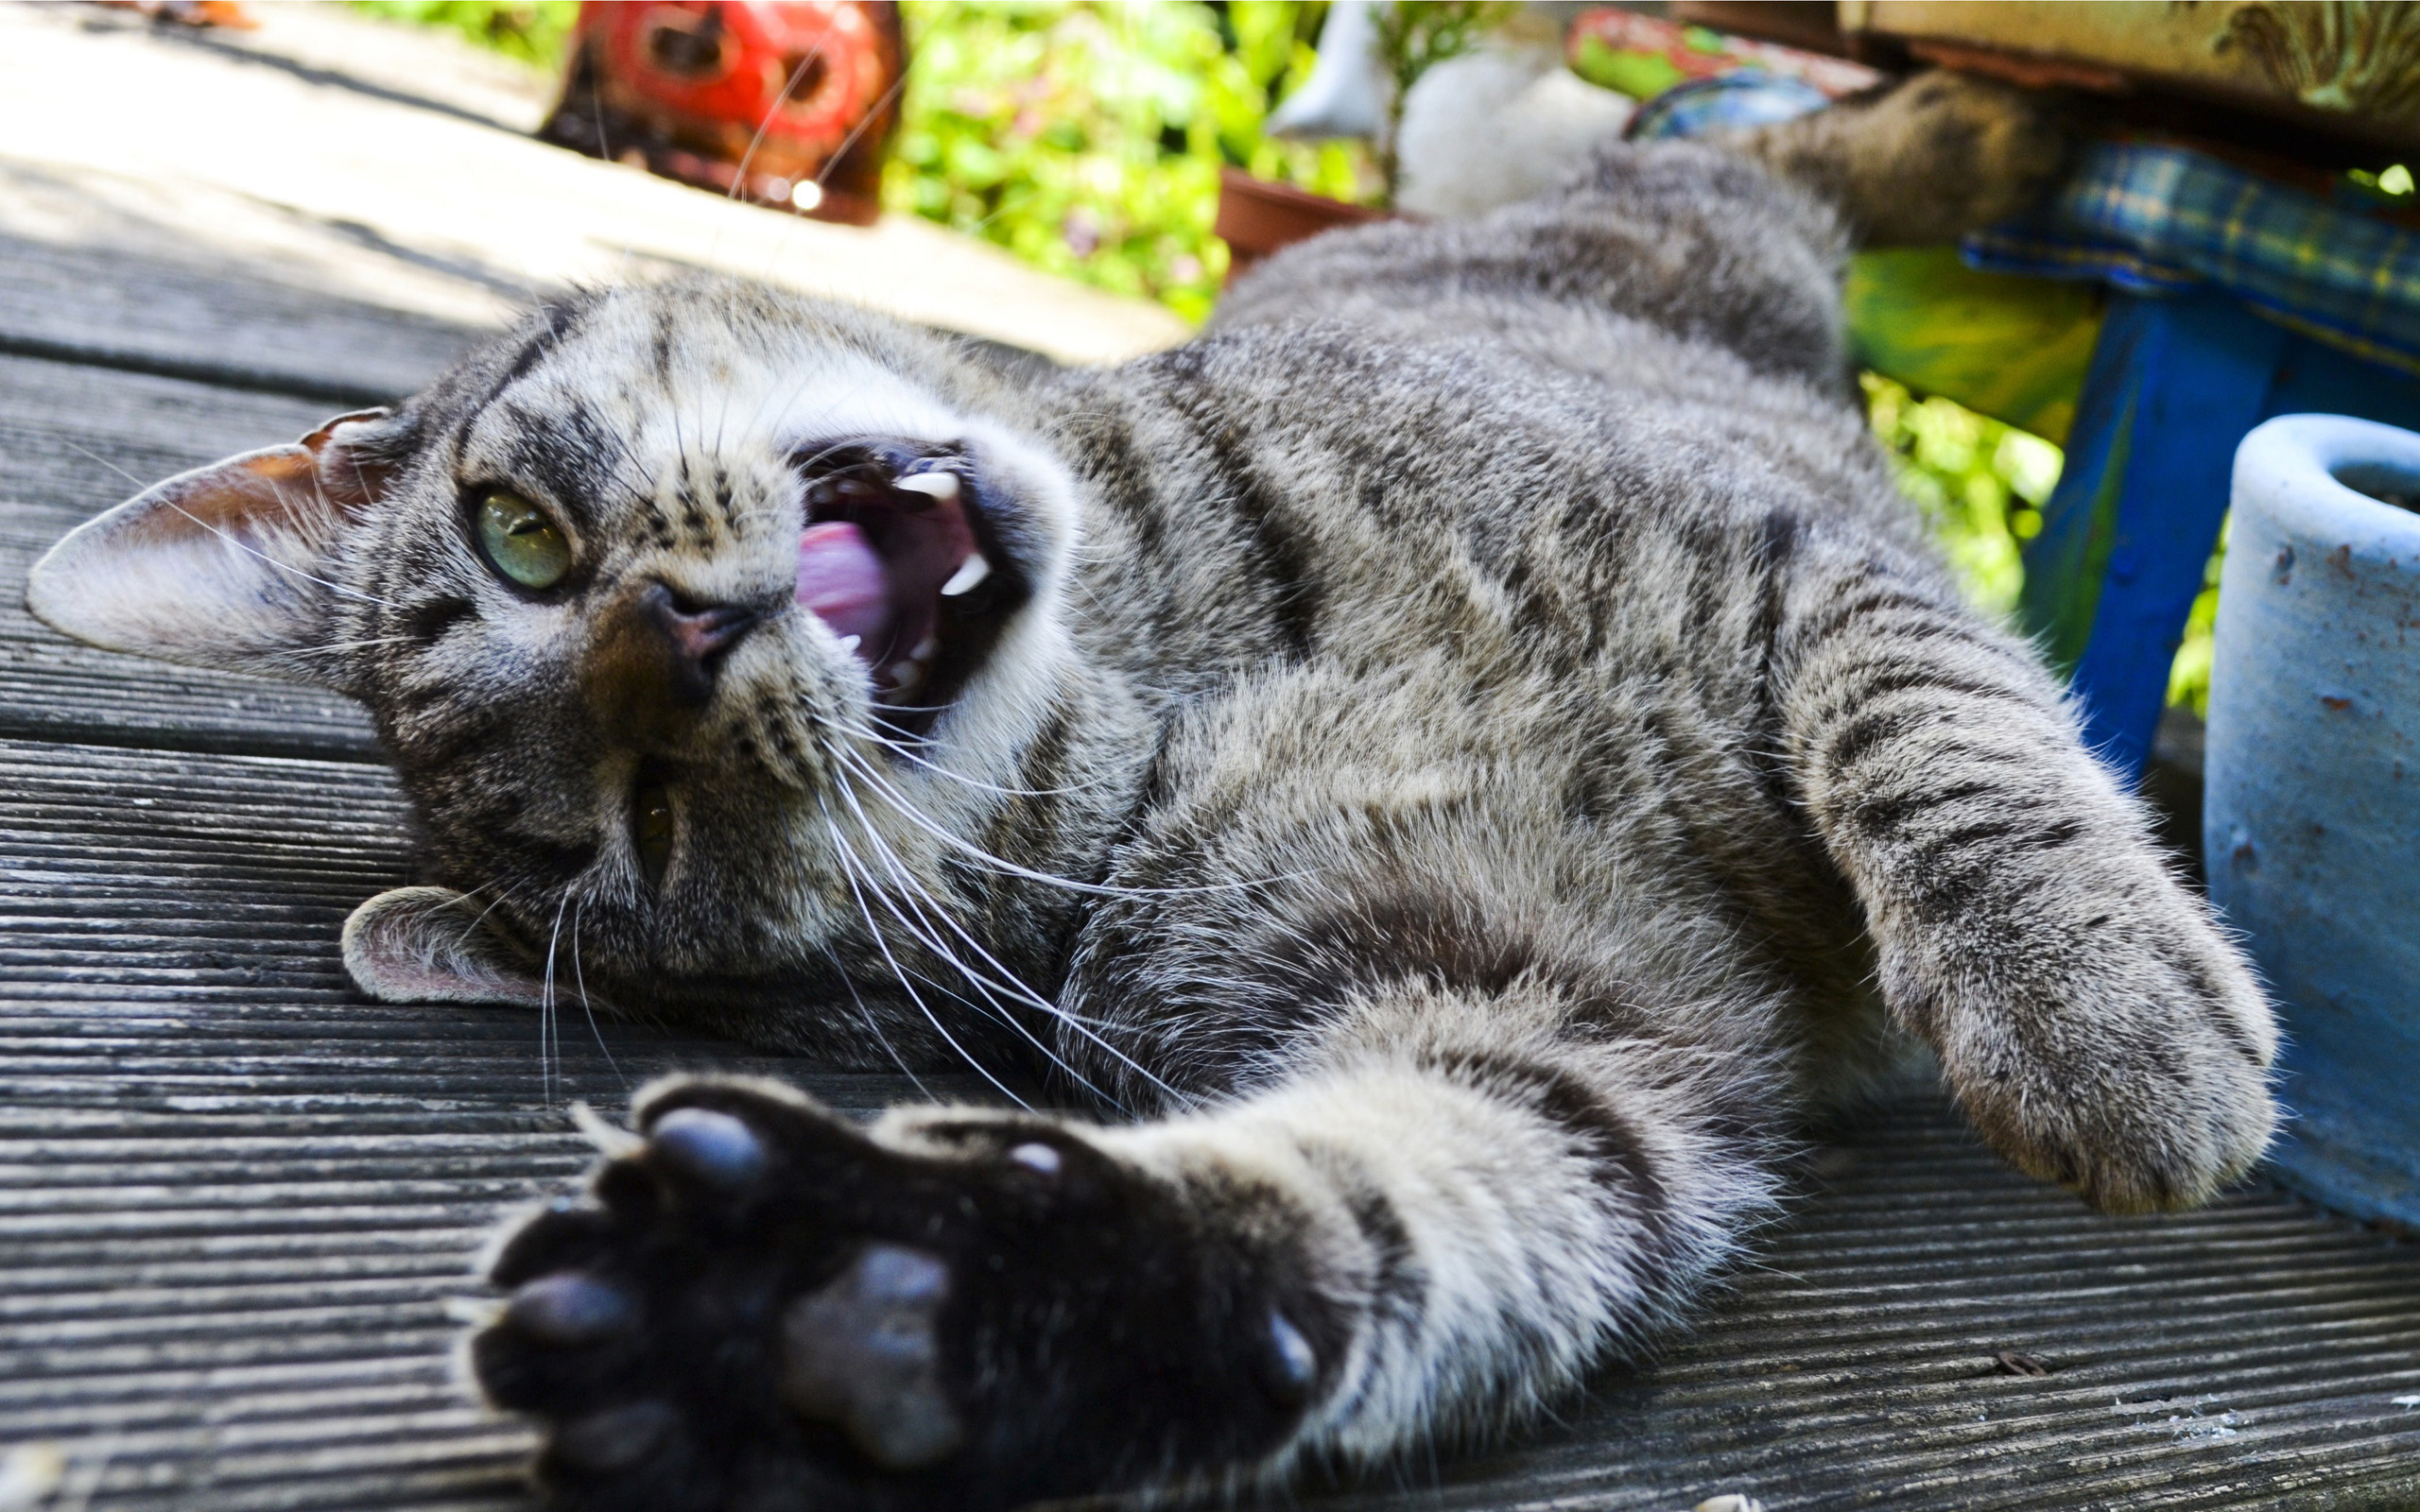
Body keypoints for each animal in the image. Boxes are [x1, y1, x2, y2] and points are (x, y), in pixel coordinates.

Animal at [28, 67, 2274, 1509]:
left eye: (515, 536)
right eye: (625, 830)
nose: (669, 644)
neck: (1192, 679)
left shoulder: (1776, 565)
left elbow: (1941, 734)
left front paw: (2105, 1020)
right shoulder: (1566, 1028)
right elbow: (1379, 1213)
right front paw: (852, 1307)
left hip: (1680, 252)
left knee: (1781, 150)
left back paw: (2010, 126)